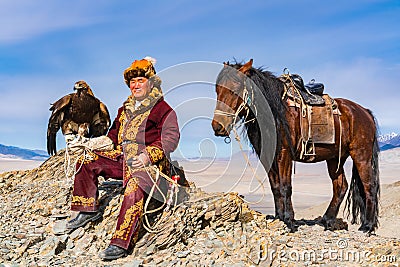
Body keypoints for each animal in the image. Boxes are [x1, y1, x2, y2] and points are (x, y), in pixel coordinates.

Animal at [211, 59, 380, 234]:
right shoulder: (268, 157)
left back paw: (367, 226)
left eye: (235, 88)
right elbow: (276, 187)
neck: (274, 111)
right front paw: (279, 217)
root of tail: (364, 112)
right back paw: (327, 220)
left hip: (361, 155)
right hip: (334, 158)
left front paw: (289, 221)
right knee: (340, 187)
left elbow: (286, 187)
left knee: (369, 186)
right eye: (217, 90)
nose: (218, 127)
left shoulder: (284, 154)